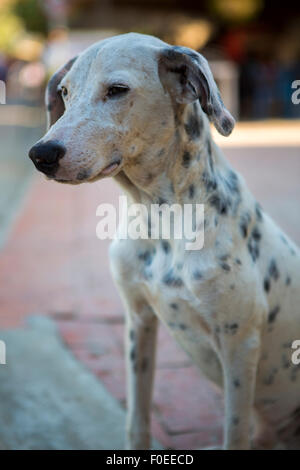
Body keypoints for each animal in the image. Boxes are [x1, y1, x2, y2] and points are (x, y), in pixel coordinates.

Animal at [28, 33, 300, 452]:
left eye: (117, 90)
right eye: (65, 92)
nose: (40, 154)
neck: (159, 221)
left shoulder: (239, 346)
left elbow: (233, 432)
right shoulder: (138, 321)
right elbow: (137, 420)